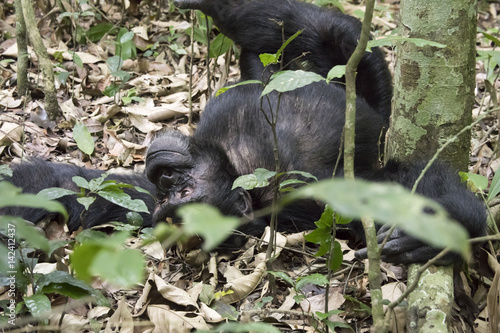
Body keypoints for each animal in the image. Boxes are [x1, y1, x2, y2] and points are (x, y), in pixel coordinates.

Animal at [0, 0, 484, 264]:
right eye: (170, 198)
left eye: (180, 189)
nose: (165, 175)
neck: (243, 169)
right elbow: (71, 188)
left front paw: (436, 235)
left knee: (310, 27)